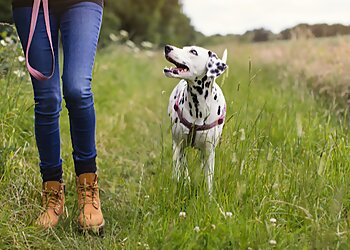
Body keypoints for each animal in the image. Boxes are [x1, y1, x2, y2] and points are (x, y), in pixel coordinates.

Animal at [163, 44, 228, 194]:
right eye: (183, 48)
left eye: (193, 51)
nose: (167, 47)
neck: (198, 109)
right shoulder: (178, 145)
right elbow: (177, 172)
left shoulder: (209, 152)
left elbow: (209, 180)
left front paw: (209, 197)